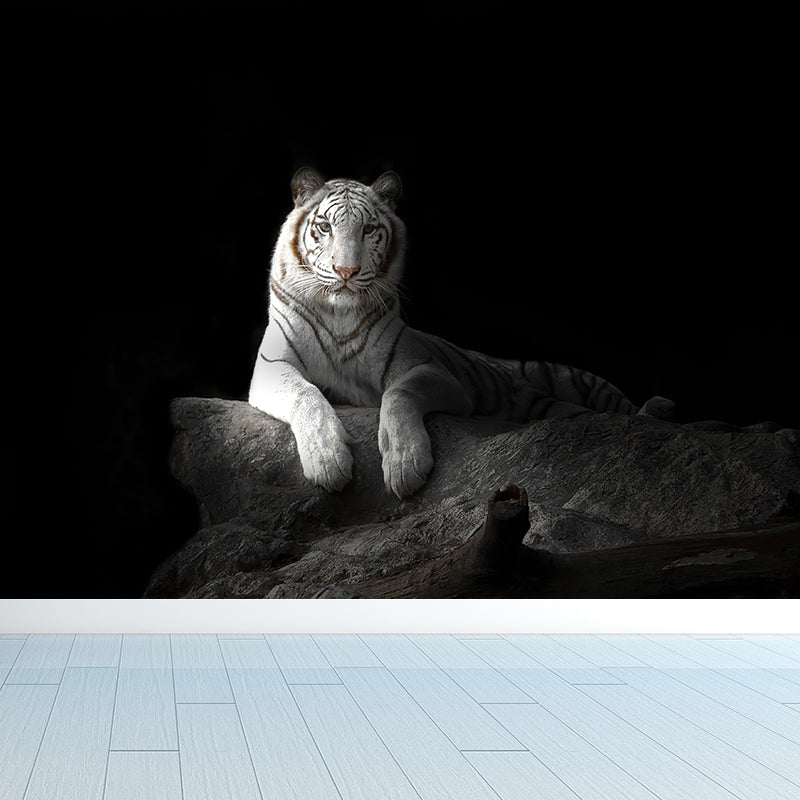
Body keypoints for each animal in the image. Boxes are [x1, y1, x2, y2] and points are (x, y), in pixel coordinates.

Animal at [249, 167, 674, 498]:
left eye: (368, 229)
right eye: (324, 226)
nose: (347, 272)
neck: (339, 312)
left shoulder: (432, 372)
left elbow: (399, 394)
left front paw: (405, 463)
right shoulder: (271, 367)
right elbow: (306, 395)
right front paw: (328, 461)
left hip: (578, 382)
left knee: (621, 411)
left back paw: (657, 411)